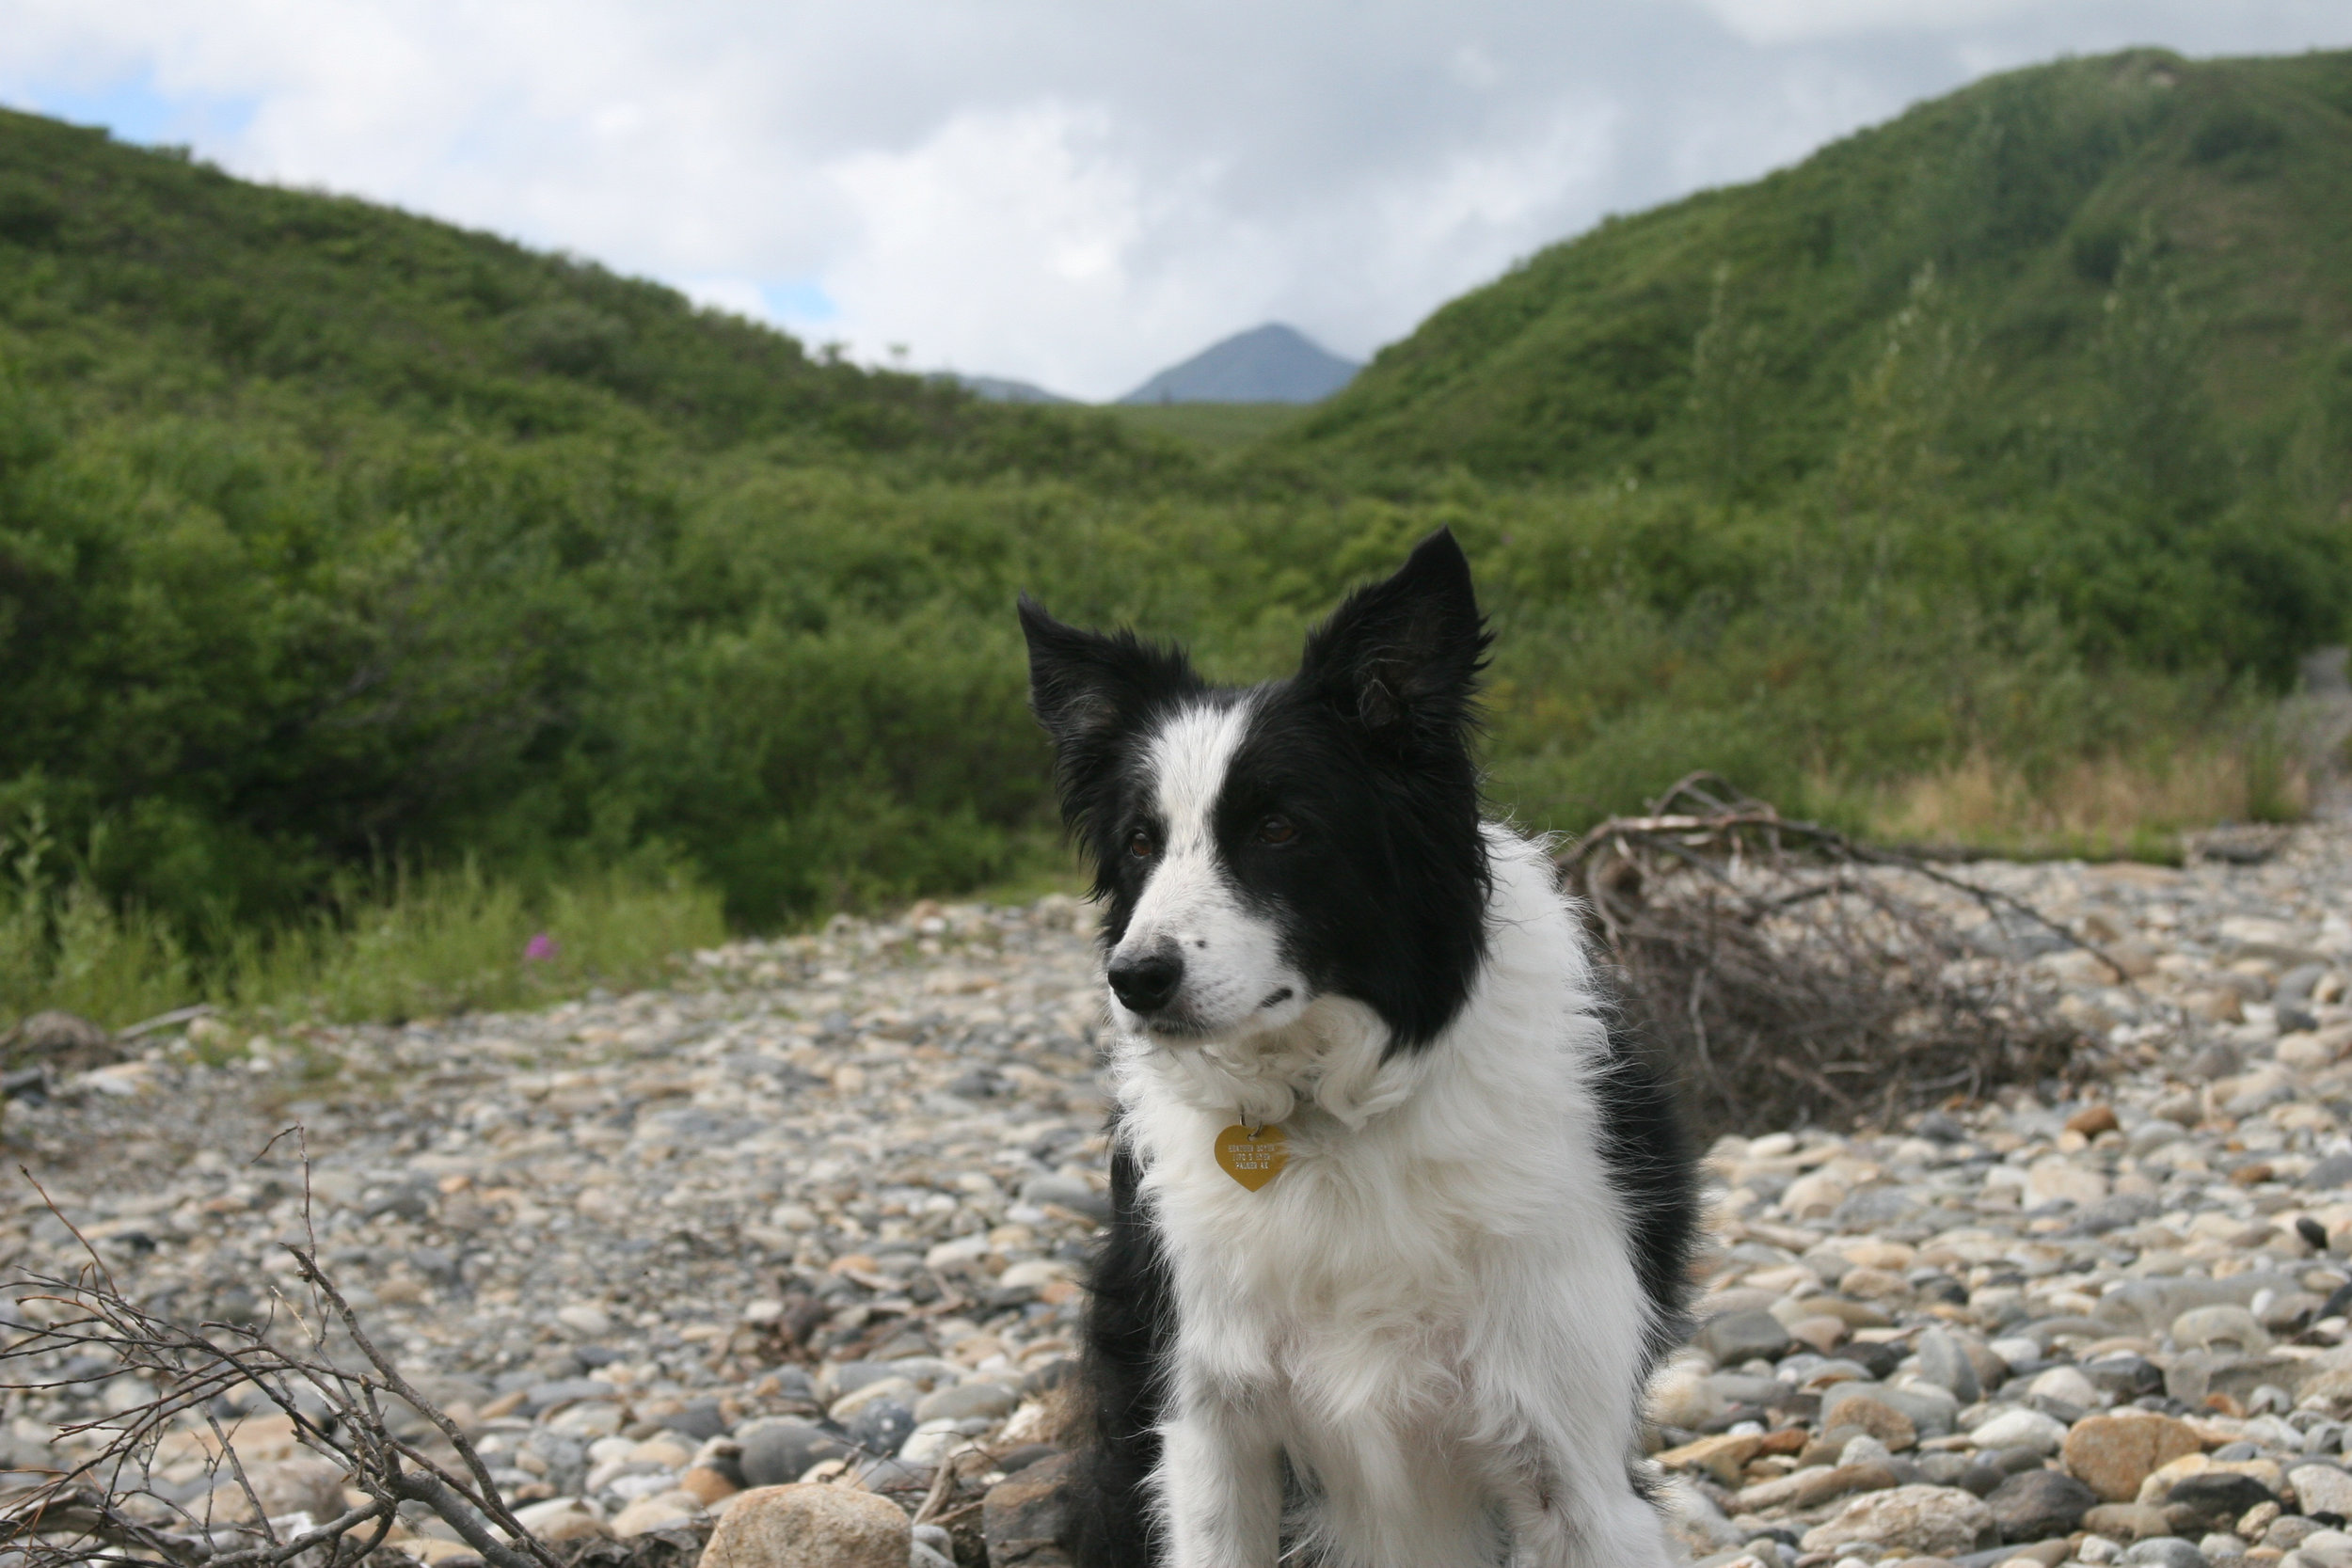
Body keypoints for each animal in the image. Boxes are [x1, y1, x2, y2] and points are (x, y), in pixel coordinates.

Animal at [1011, 531, 1693, 1568]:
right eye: (1139, 842)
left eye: (1278, 826)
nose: (1135, 977)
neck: (1329, 1119)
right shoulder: (1210, 1428)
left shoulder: (1568, 1461)